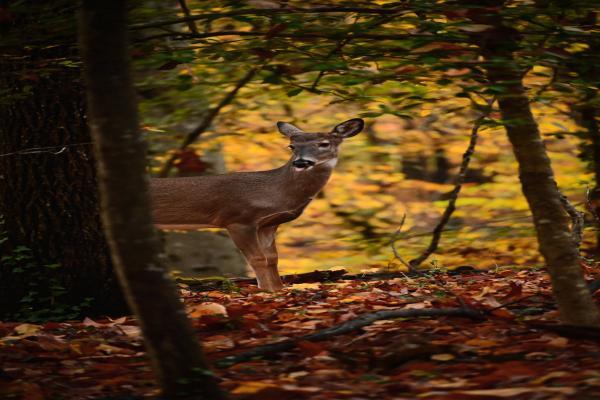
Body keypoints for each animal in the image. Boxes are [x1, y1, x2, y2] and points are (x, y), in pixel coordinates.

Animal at [152, 119, 364, 290]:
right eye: (292, 146)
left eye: (324, 144)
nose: (300, 162)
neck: (275, 193)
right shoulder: (238, 219)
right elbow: (258, 259)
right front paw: (266, 292)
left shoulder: (268, 224)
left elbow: (272, 259)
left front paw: (278, 289)